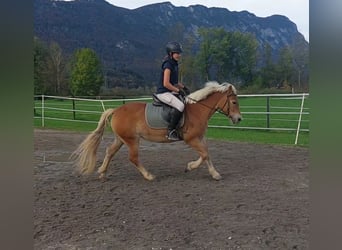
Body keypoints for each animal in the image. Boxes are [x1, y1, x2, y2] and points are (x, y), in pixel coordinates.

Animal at [71, 81, 243, 181]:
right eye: (234, 102)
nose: (239, 119)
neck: (197, 110)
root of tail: (116, 110)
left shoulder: (200, 138)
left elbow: (206, 154)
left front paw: (213, 173)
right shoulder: (192, 139)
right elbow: (205, 154)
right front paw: (191, 167)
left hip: (121, 139)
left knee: (110, 152)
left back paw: (102, 172)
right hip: (132, 140)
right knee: (133, 158)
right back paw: (149, 176)